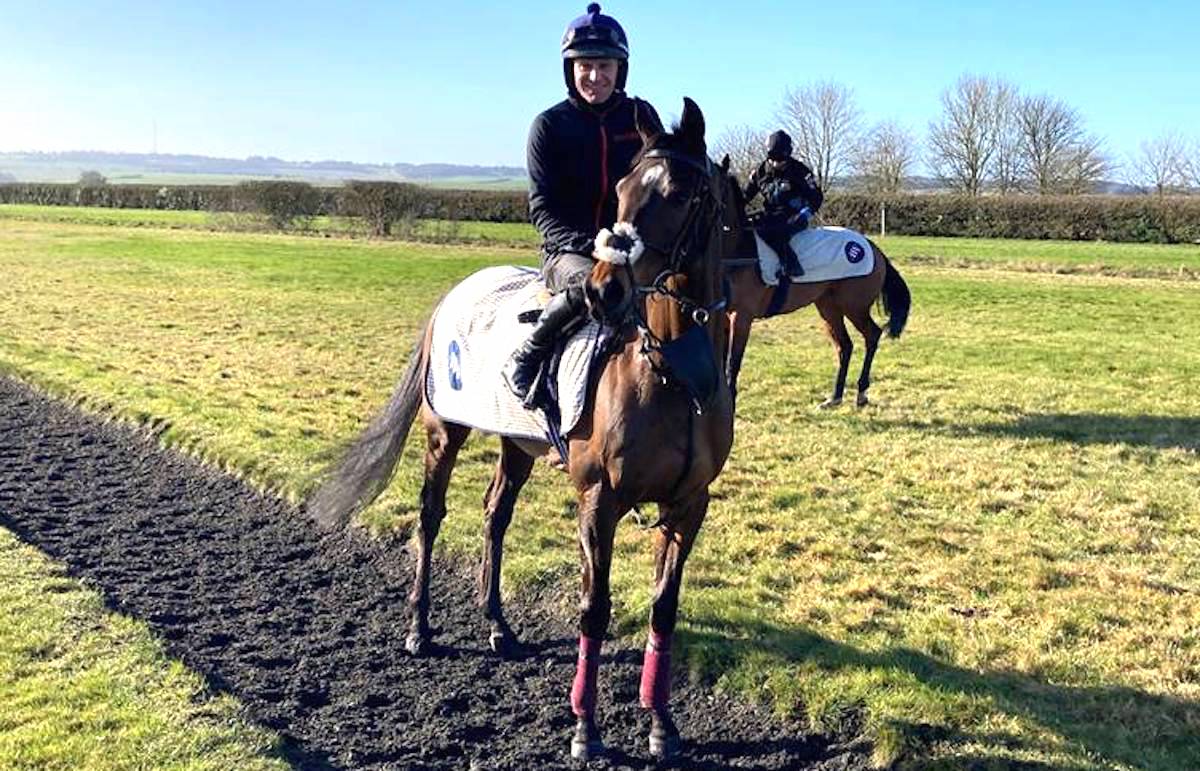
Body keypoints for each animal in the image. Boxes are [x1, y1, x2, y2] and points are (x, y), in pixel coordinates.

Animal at [307, 99, 739, 758]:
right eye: (622, 189)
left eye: (679, 192)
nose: (605, 288)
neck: (673, 375)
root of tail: (451, 297)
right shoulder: (599, 500)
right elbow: (594, 608)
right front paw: (586, 727)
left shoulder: (689, 505)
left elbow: (663, 611)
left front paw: (661, 724)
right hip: (443, 434)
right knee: (430, 516)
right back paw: (419, 627)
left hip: (517, 447)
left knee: (495, 516)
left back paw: (498, 627)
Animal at [720, 182, 907, 405]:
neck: (739, 247)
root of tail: (871, 246)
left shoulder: (742, 316)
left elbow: (732, 363)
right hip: (828, 306)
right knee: (845, 345)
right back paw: (835, 396)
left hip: (854, 307)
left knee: (872, 335)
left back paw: (861, 392)